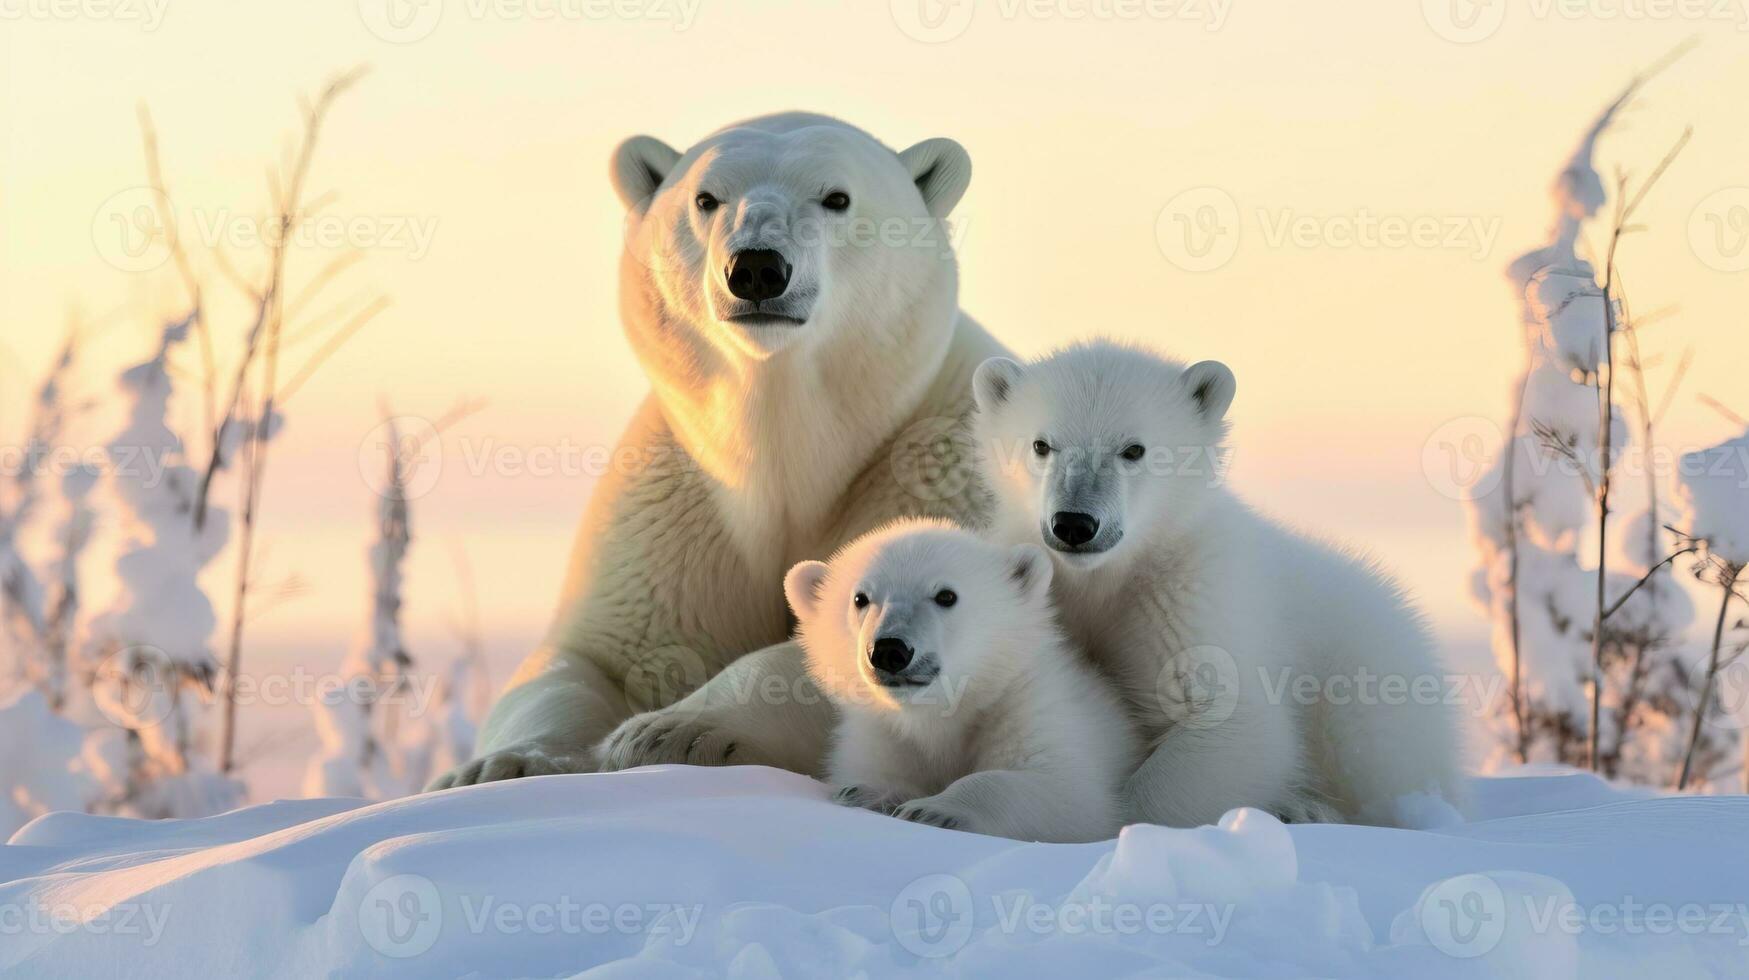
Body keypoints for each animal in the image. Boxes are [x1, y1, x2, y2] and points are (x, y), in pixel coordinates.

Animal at [430, 114, 1007, 787]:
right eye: (706, 199)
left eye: (837, 197)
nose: (757, 267)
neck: (784, 444)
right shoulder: (677, 510)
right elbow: (590, 655)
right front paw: (499, 765)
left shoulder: (933, 472)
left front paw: (669, 731)